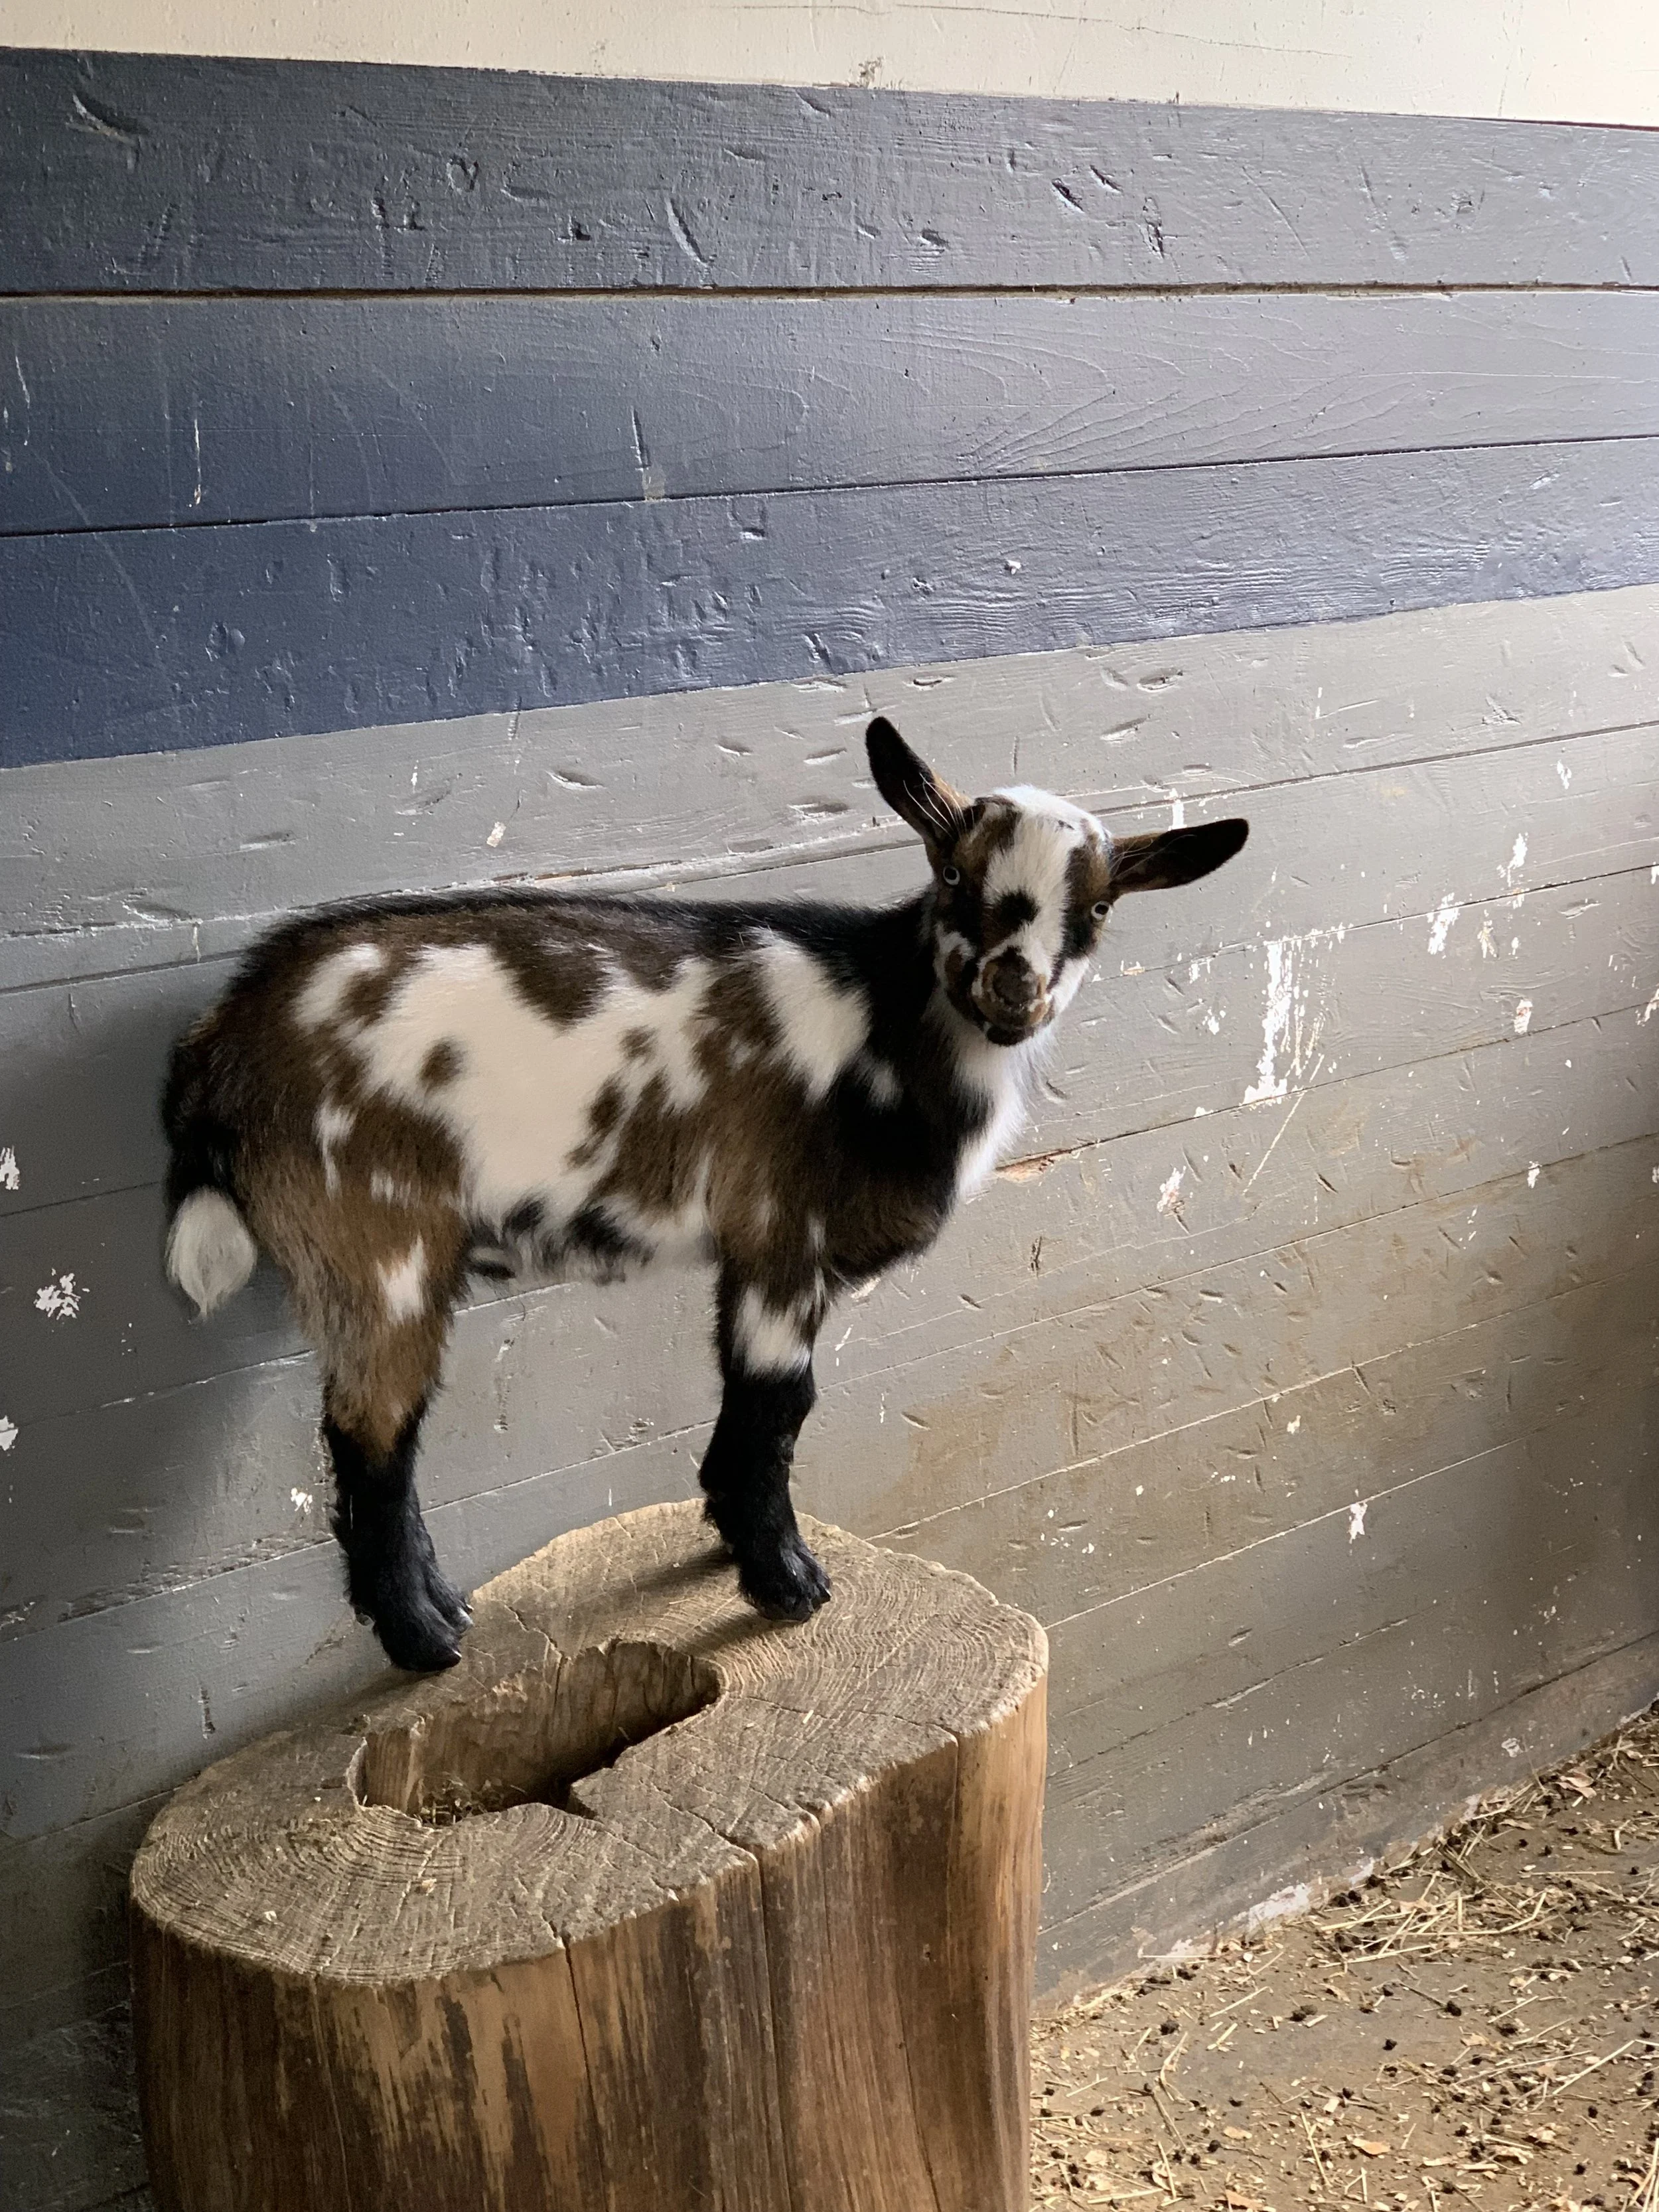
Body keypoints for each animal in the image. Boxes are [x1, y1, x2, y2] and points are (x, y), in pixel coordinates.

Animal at [162, 718, 1247, 1671]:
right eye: (951, 873)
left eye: (1097, 910)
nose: (1011, 989)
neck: (886, 1021)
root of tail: (221, 1037)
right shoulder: (781, 1235)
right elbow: (778, 1407)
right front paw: (786, 1584)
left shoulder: (759, 1253)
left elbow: (746, 1409)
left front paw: (734, 1547)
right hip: (374, 1237)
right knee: (372, 1431)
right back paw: (424, 1641)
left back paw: (443, 1612)